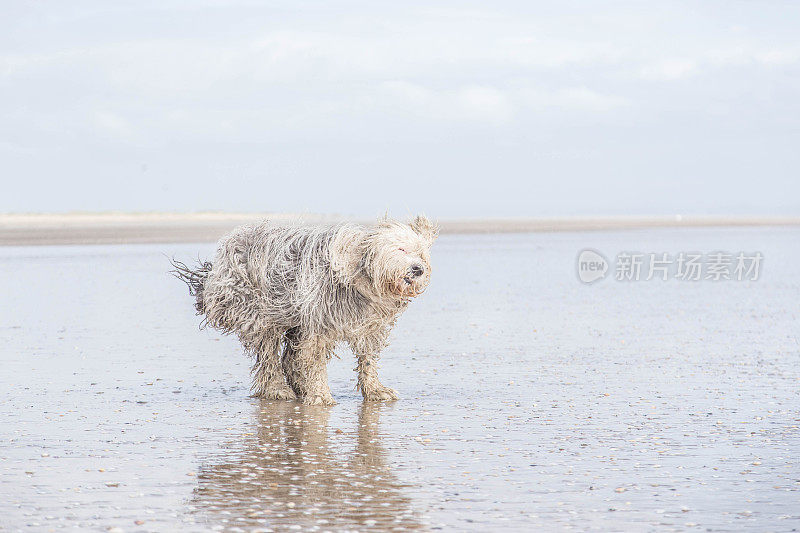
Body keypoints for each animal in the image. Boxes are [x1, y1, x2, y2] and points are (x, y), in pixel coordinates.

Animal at [172, 215, 438, 404]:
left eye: (421, 253)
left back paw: (298, 386)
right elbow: (315, 361)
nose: (418, 269)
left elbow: (368, 359)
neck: (357, 275)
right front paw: (320, 394)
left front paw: (375, 390)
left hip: (294, 319)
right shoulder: (319, 325)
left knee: (290, 358)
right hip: (260, 315)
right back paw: (278, 388)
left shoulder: (368, 328)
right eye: (401, 249)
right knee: (269, 356)